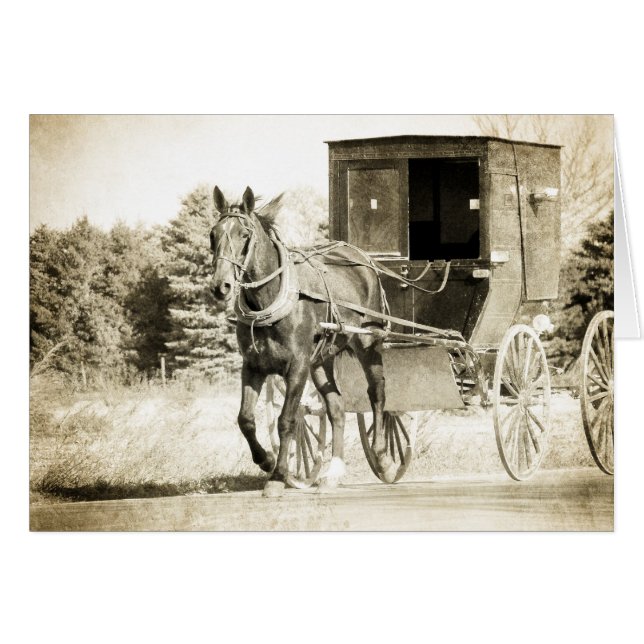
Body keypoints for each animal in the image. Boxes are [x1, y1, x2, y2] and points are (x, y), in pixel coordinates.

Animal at [209, 186, 393, 497]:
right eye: (213, 234)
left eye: (244, 234)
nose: (220, 286)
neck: (270, 300)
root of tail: (363, 259)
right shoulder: (253, 366)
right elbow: (245, 419)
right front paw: (266, 460)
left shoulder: (297, 366)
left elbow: (287, 420)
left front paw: (278, 476)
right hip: (321, 359)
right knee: (336, 408)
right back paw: (334, 472)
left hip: (368, 342)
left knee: (377, 392)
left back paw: (382, 455)